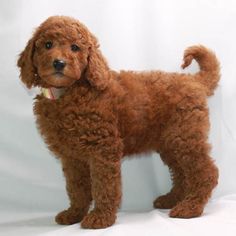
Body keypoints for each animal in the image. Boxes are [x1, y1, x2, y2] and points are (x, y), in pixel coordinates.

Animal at [17, 15, 220, 229]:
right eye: (47, 44)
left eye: (75, 47)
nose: (59, 63)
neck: (67, 93)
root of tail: (193, 80)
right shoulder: (71, 157)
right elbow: (76, 188)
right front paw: (74, 213)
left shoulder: (103, 149)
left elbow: (104, 185)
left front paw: (101, 217)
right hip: (170, 142)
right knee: (181, 173)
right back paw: (171, 199)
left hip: (185, 137)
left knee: (206, 171)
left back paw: (190, 207)